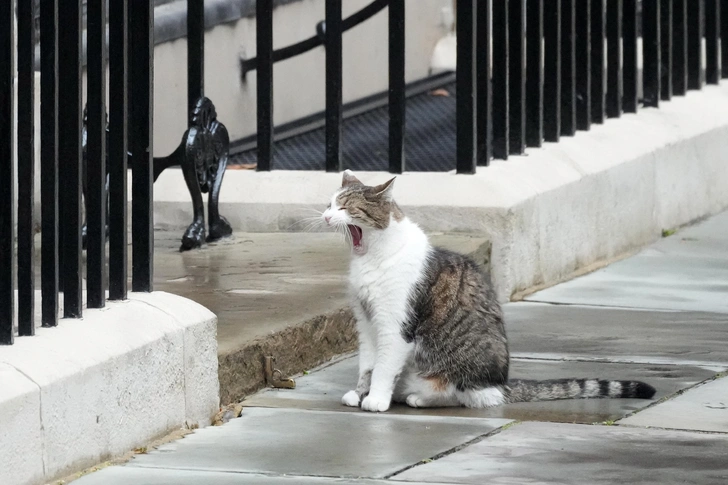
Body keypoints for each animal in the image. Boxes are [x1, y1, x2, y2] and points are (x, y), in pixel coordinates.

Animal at [322, 171, 656, 412]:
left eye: (346, 207)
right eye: (329, 204)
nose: (324, 216)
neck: (371, 257)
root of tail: (500, 383)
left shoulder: (395, 325)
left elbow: (383, 367)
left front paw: (376, 400)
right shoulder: (367, 322)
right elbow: (368, 364)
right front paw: (359, 394)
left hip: (453, 372)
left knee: (466, 396)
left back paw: (421, 397)